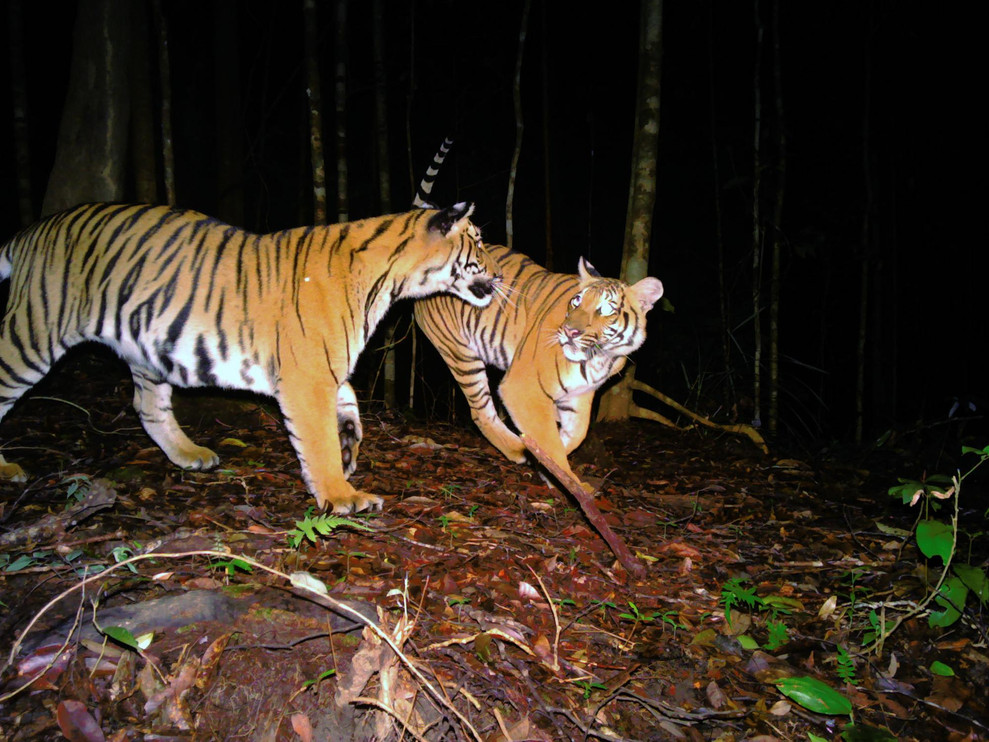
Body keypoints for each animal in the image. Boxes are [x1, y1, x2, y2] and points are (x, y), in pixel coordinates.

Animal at [0, 201, 499, 513]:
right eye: (477, 242)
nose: (497, 276)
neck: (391, 281)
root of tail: (30, 231)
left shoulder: (324, 366)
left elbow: (349, 402)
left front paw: (348, 445)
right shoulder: (306, 375)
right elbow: (315, 439)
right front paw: (342, 495)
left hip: (144, 347)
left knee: (147, 406)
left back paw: (191, 455)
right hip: (34, 331)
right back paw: (8, 470)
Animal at [411, 140, 664, 493]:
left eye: (605, 309)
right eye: (576, 301)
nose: (570, 333)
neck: (599, 358)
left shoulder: (581, 395)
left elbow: (574, 435)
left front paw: (551, 467)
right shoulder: (523, 388)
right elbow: (550, 441)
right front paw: (566, 481)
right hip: (460, 353)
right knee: (481, 411)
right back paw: (517, 449)